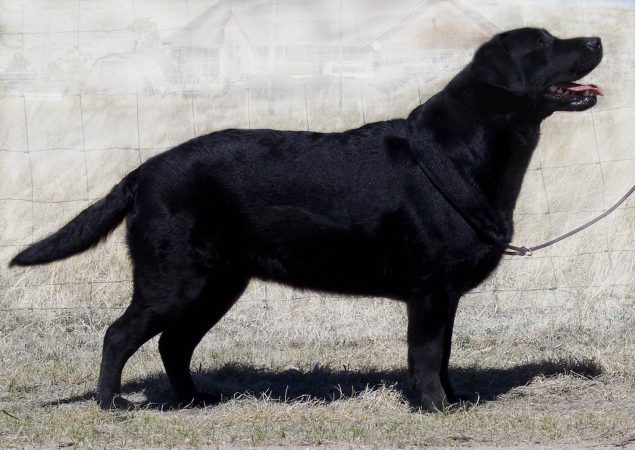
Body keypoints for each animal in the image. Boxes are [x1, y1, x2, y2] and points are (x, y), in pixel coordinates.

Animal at [11, 26, 608, 410]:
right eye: (542, 43)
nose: (597, 40)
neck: (464, 149)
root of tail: (141, 172)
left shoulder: (447, 294)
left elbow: (443, 353)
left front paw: (454, 399)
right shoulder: (429, 290)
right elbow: (425, 354)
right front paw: (435, 406)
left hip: (217, 283)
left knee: (171, 345)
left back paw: (194, 400)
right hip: (174, 280)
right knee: (119, 335)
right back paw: (110, 404)